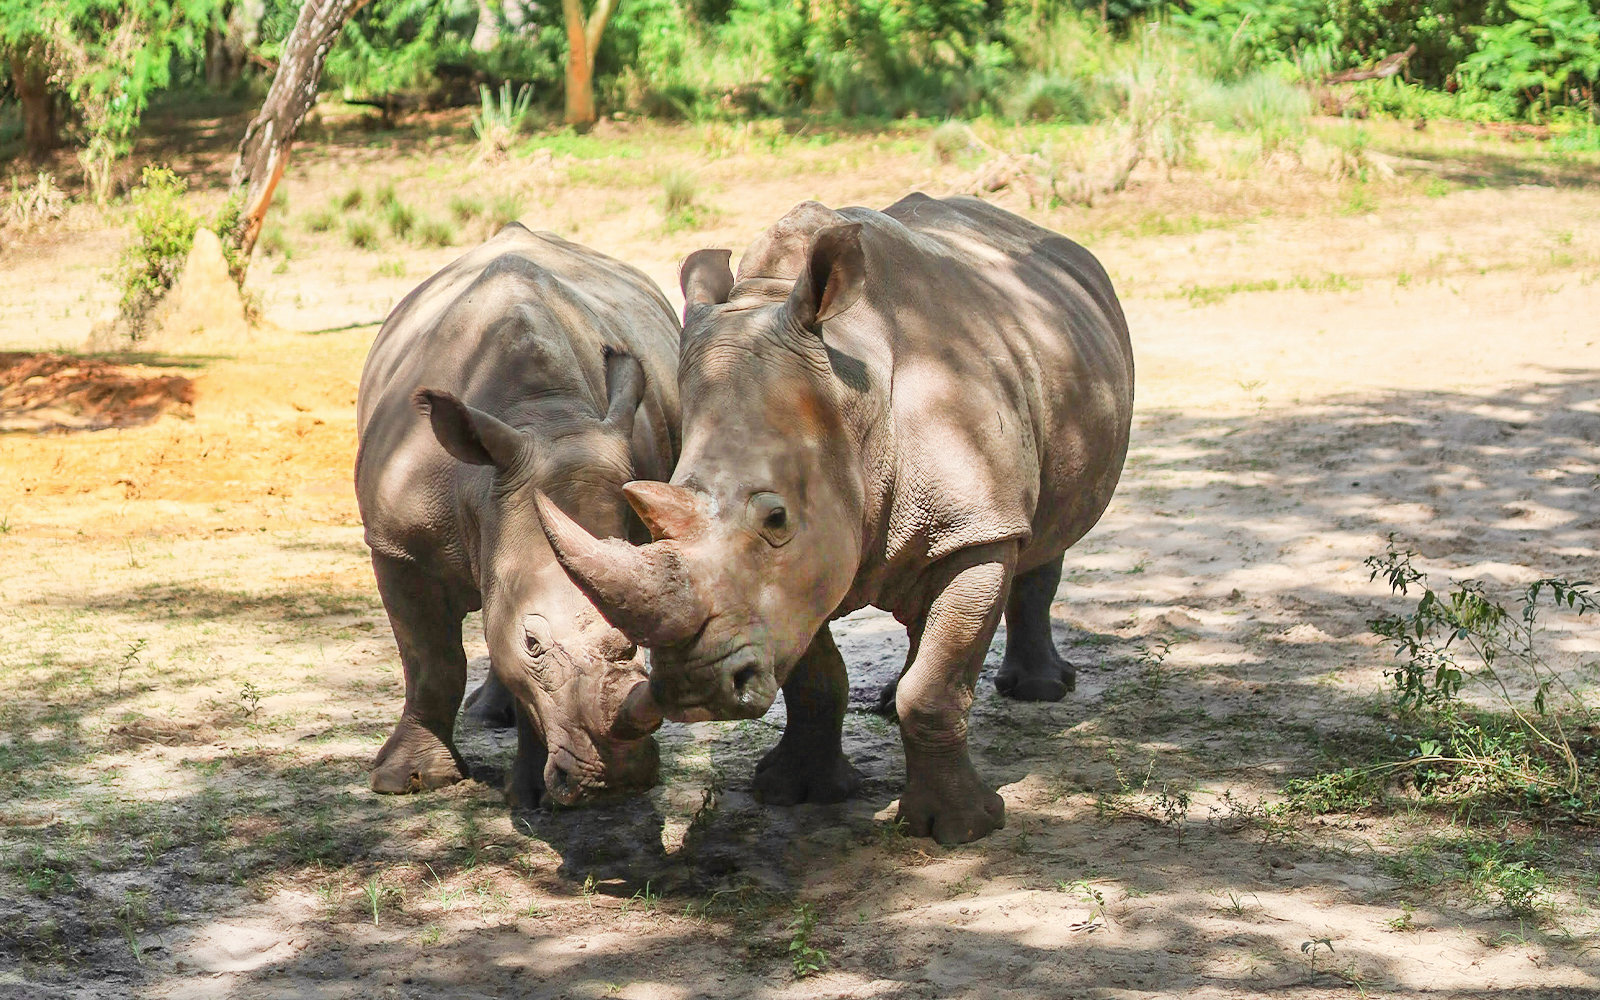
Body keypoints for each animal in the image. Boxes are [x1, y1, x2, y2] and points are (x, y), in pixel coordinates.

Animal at [354, 223, 680, 807]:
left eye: (633, 643)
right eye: (533, 642)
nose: (618, 780)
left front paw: (533, 798)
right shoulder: (395, 545)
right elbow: (431, 662)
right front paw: (407, 781)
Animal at [535, 195, 1135, 843]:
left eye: (777, 519)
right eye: (651, 510)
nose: (692, 690)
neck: (855, 402)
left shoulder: (977, 528)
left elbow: (937, 686)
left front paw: (959, 830)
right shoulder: (807, 565)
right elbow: (815, 675)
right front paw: (795, 792)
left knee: (1045, 537)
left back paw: (1040, 692)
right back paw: (892, 698)